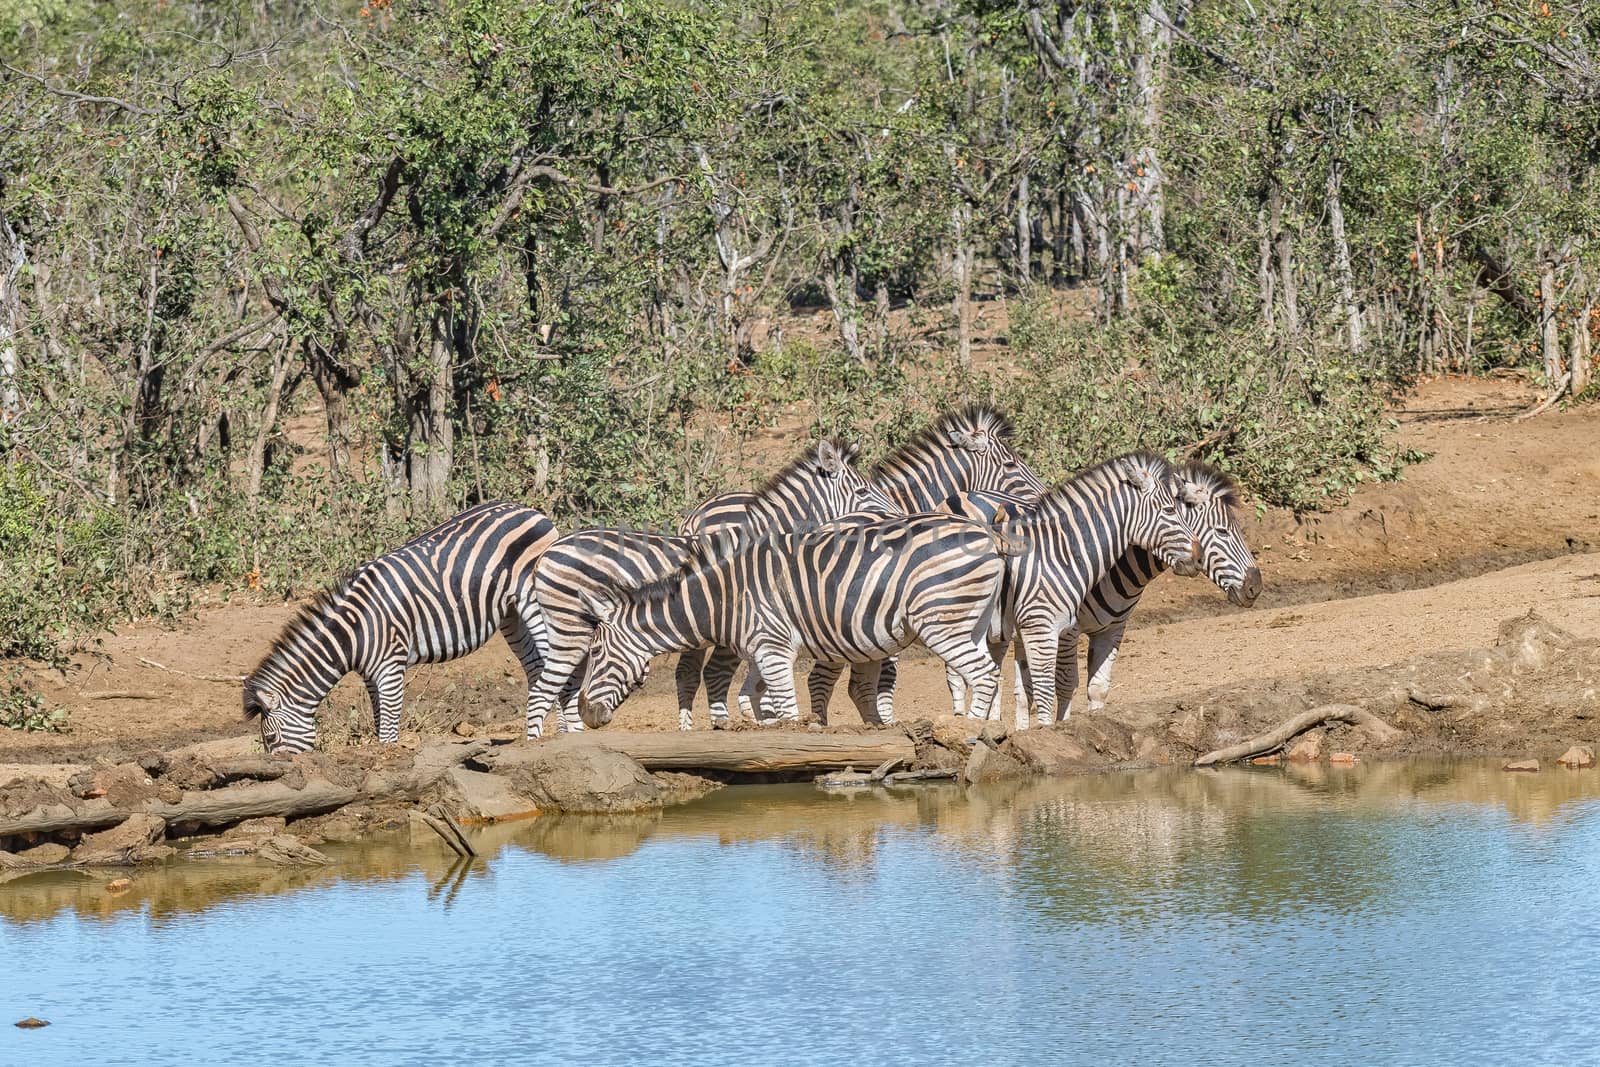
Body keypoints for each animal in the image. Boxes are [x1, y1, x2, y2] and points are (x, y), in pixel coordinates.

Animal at [240, 505, 560, 755]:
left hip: (533, 601)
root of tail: (533, 512)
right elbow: (379, 718)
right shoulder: (370, 676)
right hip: (510, 615)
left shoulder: (391, 666)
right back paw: (534, 738)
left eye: (270, 738)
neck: (355, 631)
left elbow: (389, 725)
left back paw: (562, 735)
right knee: (535, 666)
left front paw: (388, 759)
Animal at [576, 511, 1017, 729]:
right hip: (972, 621)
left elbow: (785, 707)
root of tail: (985, 532)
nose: (585, 714)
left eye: (595, 652)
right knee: (990, 670)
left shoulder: (772, 647)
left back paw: (972, 730)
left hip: (941, 621)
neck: (725, 597)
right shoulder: (763, 648)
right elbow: (752, 698)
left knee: (982, 674)